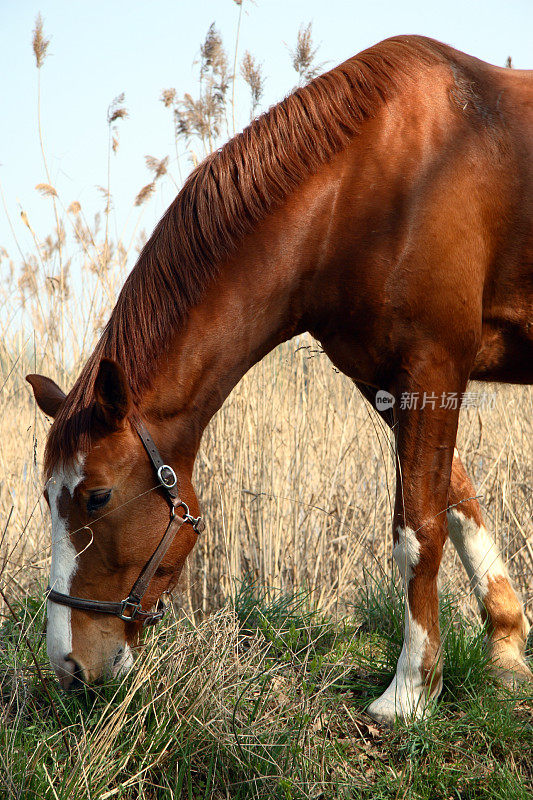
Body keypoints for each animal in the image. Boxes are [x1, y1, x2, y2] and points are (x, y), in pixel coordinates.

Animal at [27, 36, 528, 724]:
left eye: (97, 497)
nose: (69, 668)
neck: (373, 185)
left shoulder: (434, 364)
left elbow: (418, 527)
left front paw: (409, 691)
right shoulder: (388, 378)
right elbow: (457, 498)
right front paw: (505, 648)